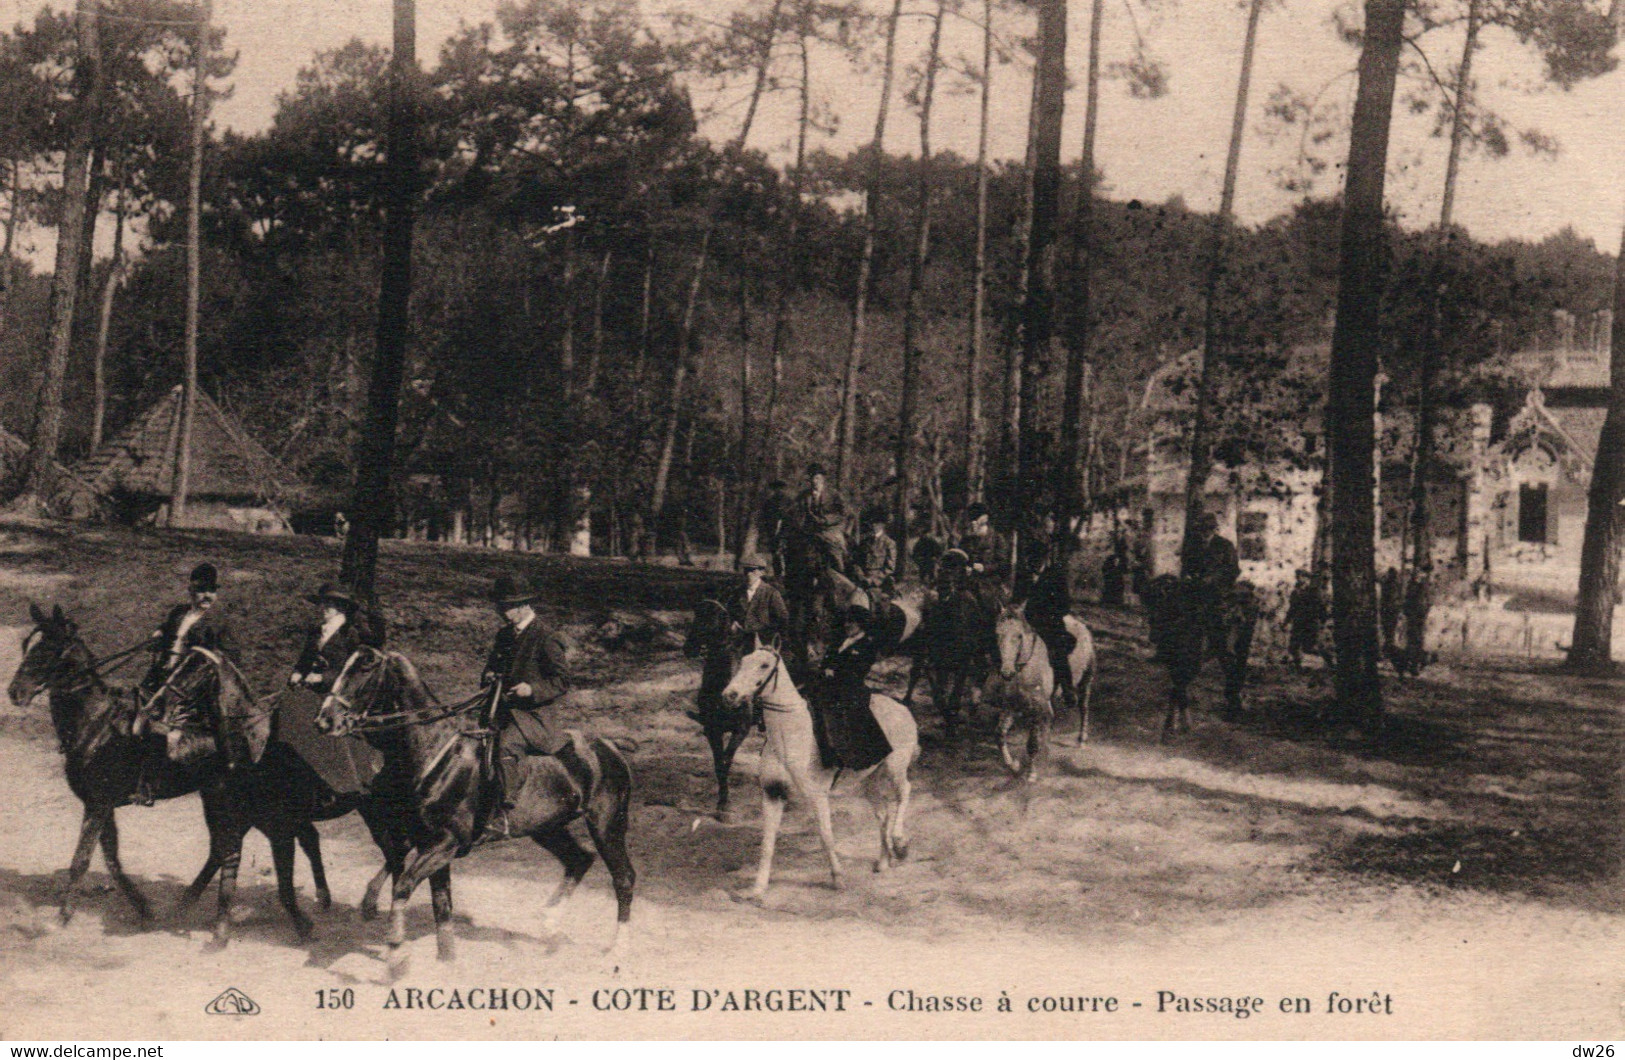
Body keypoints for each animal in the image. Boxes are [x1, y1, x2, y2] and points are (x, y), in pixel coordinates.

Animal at [316, 647, 633, 968]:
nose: (325, 721)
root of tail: (609, 746)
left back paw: (618, 947)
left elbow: (404, 885)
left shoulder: (446, 842)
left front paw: (396, 952)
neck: (434, 750)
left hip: (606, 824)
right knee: (579, 858)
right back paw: (549, 924)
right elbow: (440, 903)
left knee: (623, 877)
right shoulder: (429, 843)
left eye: (365, 669)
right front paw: (445, 957)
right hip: (547, 828)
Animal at [721, 640, 916, 897]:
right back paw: (883, 861)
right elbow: (767, 843)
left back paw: (900, 842)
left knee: (905, 792)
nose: (729, 695)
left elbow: (826, 837)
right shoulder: (773, 794)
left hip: (896, 767)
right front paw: (758, 888)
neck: (789, 735)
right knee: (883, 815)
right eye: (743, 661)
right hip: (870, 781)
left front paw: (838, 878)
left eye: (764, 665)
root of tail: (903, 710)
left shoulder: (817, 796)